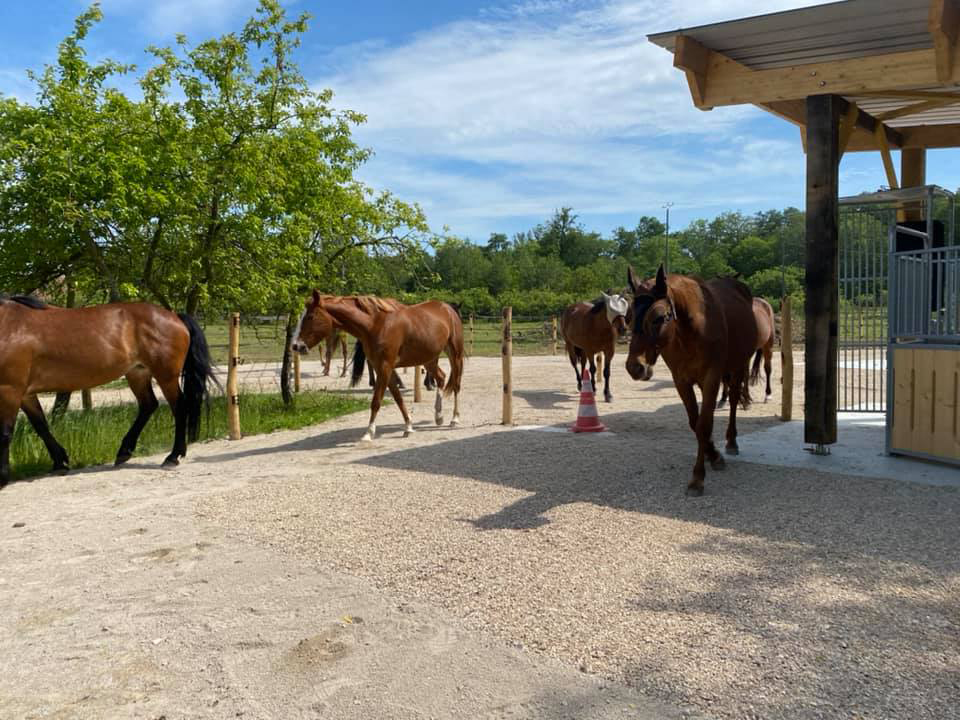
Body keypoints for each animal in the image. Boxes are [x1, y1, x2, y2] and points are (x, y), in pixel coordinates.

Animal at [0, 294, 217, 490]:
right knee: (148, 405)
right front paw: (60, 462)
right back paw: (124, 451)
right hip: (137, 373)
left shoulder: (10, 390)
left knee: (179, 408)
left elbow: (5, 432)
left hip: (166, 376)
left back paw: (173, 456)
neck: (8, 326)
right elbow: (41, 426)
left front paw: (2, 478)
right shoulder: (25, 393)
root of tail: (175, 316)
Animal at [290, 292, 464, 438]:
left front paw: (368, 433)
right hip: (428, 359)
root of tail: (447, 308)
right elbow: (398, 398)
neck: (376, 324)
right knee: (441, 378)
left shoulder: (385, 367)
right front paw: (408, 427)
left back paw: (454, 419)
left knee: (456, 385)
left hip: (454, 355)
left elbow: (376, 401)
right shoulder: (384, 368)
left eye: (310, 316)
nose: (296, 346)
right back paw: (439, 416)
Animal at [628, 264, 760, 496]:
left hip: (738, 366)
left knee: (734, 399)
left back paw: (731, 441)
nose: (635, 367)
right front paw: (712, 454)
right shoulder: (681, 379)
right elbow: (694, 422)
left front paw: (698, 478)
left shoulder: (712, 377)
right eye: (629, 315)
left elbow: (703, 425)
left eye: (659, 318)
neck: (691, 330)